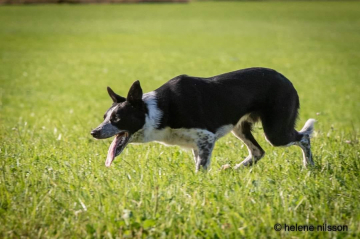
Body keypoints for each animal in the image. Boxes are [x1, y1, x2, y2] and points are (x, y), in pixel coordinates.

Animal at [90, 68, 316, 171]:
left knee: (304, 138)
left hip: (276, 133)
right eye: (104, 117)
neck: (157, 111)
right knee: (258, 151)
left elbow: (201, 169)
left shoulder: (206, 138)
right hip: (240, 128)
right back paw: (234, 170)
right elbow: (199, 164)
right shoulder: (196, 145)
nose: (94, 132)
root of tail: (286, 79)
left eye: (117, 118)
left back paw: (309, 166)